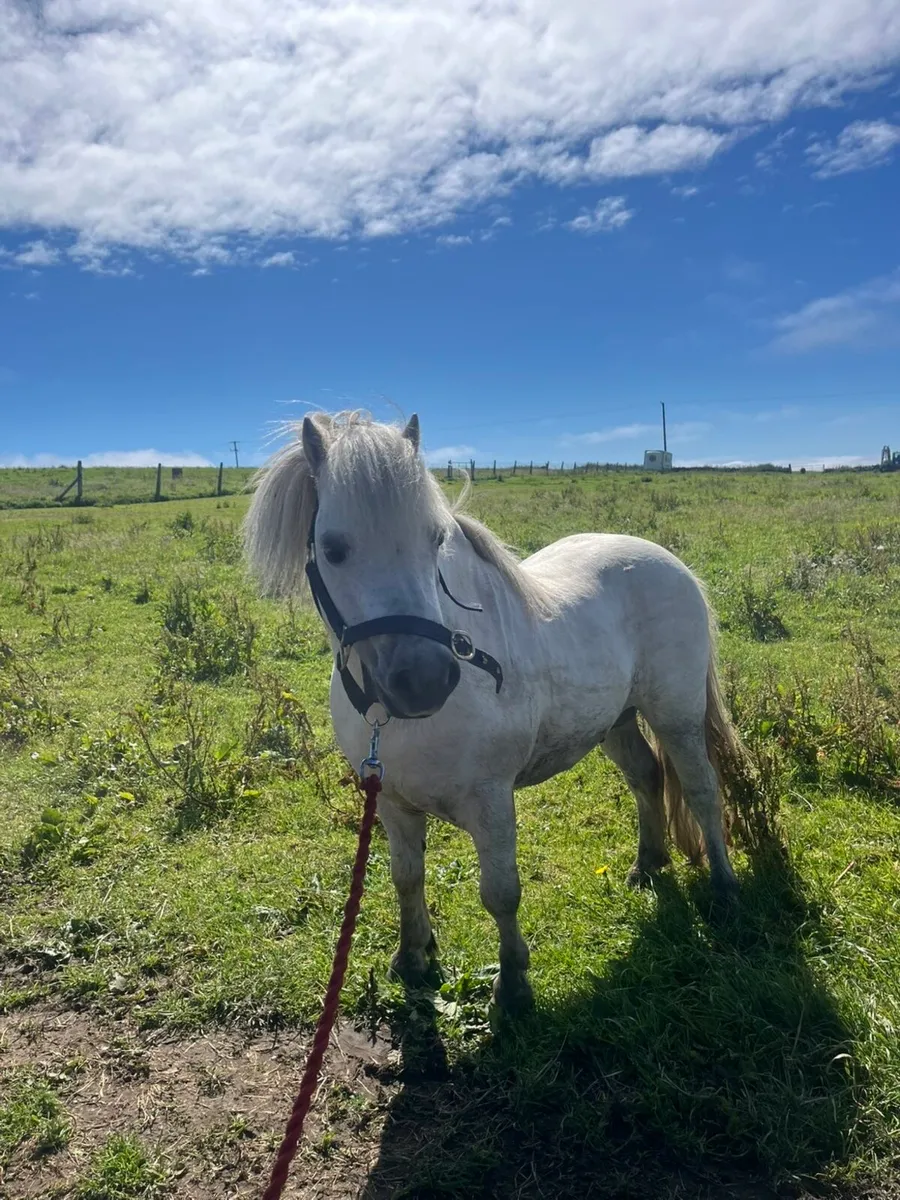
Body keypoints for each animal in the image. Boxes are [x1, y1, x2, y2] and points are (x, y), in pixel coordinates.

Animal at [244, 411, 744, 1012]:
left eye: (435, 540)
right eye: (334, 548)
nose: (425, 681)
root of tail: (665, 559)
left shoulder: (491, 802)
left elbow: (501, 894)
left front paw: (513, 988)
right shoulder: (391, 803)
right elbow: (406, 877)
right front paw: (412, 958)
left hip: (677, 715)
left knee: (700, 789)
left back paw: (724, 887)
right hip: (616, 721)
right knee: (647, 777)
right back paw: (647, 866)